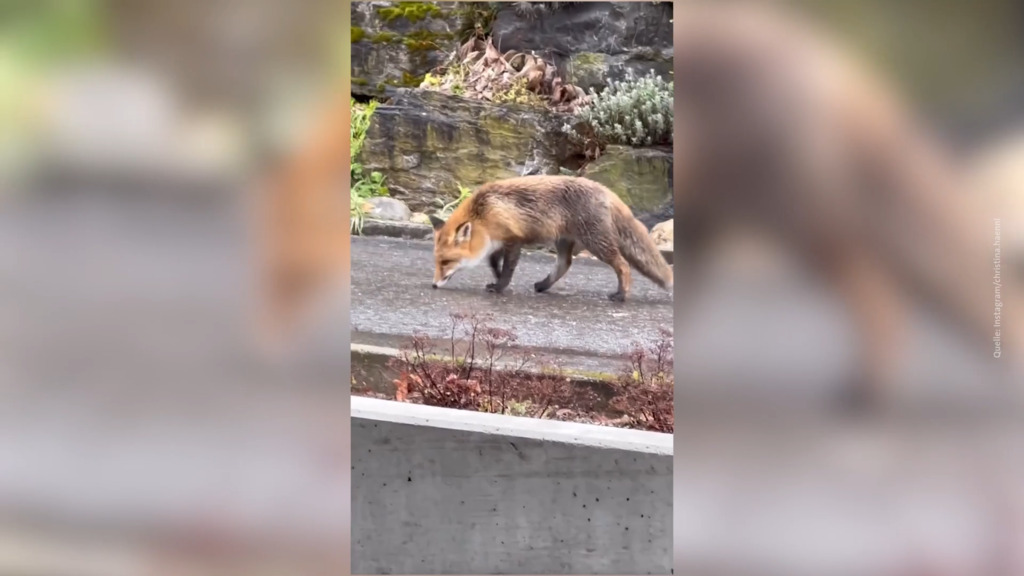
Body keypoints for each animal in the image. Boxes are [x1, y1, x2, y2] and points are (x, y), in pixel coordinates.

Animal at [427, 175, 673, 302]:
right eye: (436, 262)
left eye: (446, 262)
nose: (434, 285)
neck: (483, 214)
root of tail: (606, 190)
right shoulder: (497, 242)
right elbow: (492, 262)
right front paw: (496, 280)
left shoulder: (513, 240)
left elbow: (507, 269)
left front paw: (500, 287)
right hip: (564, 241)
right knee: (565, 264)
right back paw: (543, 285)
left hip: (596, 242)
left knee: (622, 265)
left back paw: (621, 294)